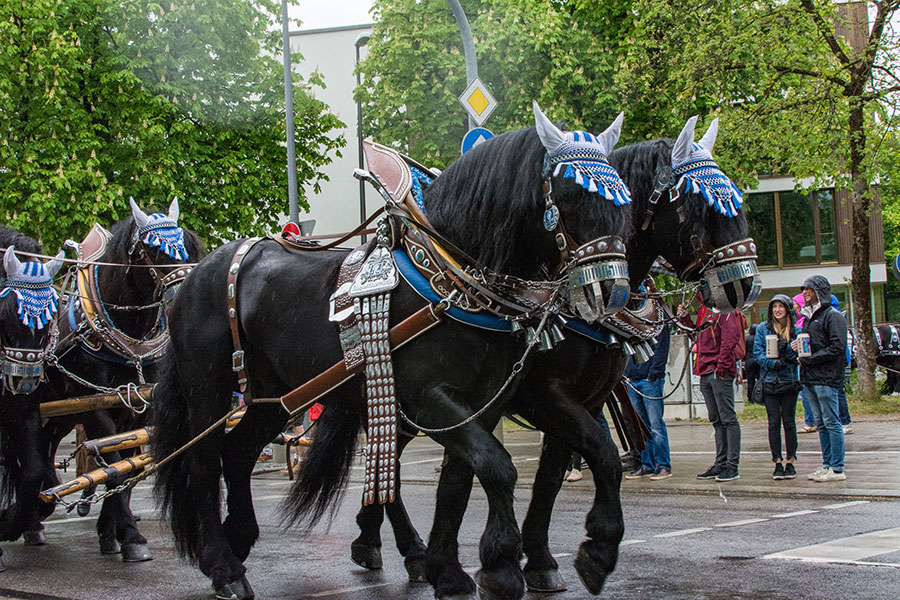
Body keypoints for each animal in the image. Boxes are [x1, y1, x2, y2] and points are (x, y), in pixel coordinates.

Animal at [38, 199, 204, 560]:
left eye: (187, 244)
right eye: (153, 249)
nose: (188, 295)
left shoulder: (138, 406)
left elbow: (130, 469)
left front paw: (113, 532)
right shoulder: (97, 409)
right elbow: (113, 469)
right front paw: (129, 536)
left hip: (63, 410)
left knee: (45, 445)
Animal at [153, 105, 632, 596]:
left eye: (625, 203)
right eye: (570, 196)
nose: (612, 292)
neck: (450, 282)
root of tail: (197, 272)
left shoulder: (487, 404)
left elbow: (471, 479)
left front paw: (459, 569)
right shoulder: (432, 399)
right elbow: (499, 468)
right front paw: (500, 566)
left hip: (276, 395)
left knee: (238, 453)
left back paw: (243, 538)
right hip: (208, 387)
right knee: (203, 464)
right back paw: (224, 566)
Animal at [350, 115, 760, 592]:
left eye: (736, 197)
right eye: (697, 204)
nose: (745, 284)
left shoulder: (586, 400)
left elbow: (552, 475)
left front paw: (541, 559)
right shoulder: (545, 396)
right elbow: (599, 452)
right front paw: (586, 551)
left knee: (387, 463)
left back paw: (383, 544)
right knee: (385, 463)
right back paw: (400, 548)